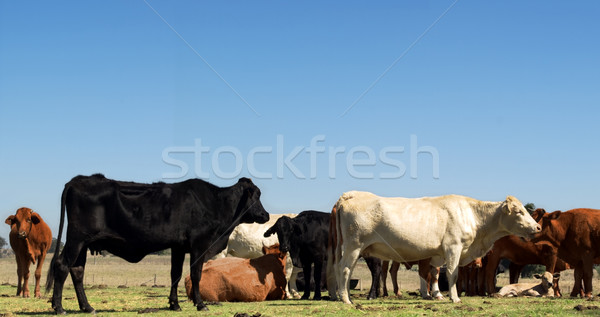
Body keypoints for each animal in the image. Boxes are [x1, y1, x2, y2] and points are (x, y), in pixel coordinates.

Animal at [47, 174, 270, 312]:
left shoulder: (178, 246)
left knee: (77, 271)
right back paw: (59, 308)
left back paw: (87, 307)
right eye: (257, 195)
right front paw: (200, 304)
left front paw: (174, 304)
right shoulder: (199, 244)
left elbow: (175, 274)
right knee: (62, 266)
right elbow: (195, 274)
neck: (215, 203)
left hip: (83, 244)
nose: (265, 215)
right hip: (77, 239)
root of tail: (77, 180)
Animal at [330, 191, 540, 302]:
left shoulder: (438, 254)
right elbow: (453, 274)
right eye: (519, 212)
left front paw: (437, 295)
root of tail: (351, 195)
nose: (538, 227)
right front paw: (455, 298)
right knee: (345, 269)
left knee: (343, 269)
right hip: (354, 246)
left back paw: (345, 296)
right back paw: (346, 299)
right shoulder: (453, 247)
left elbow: (434, 273)